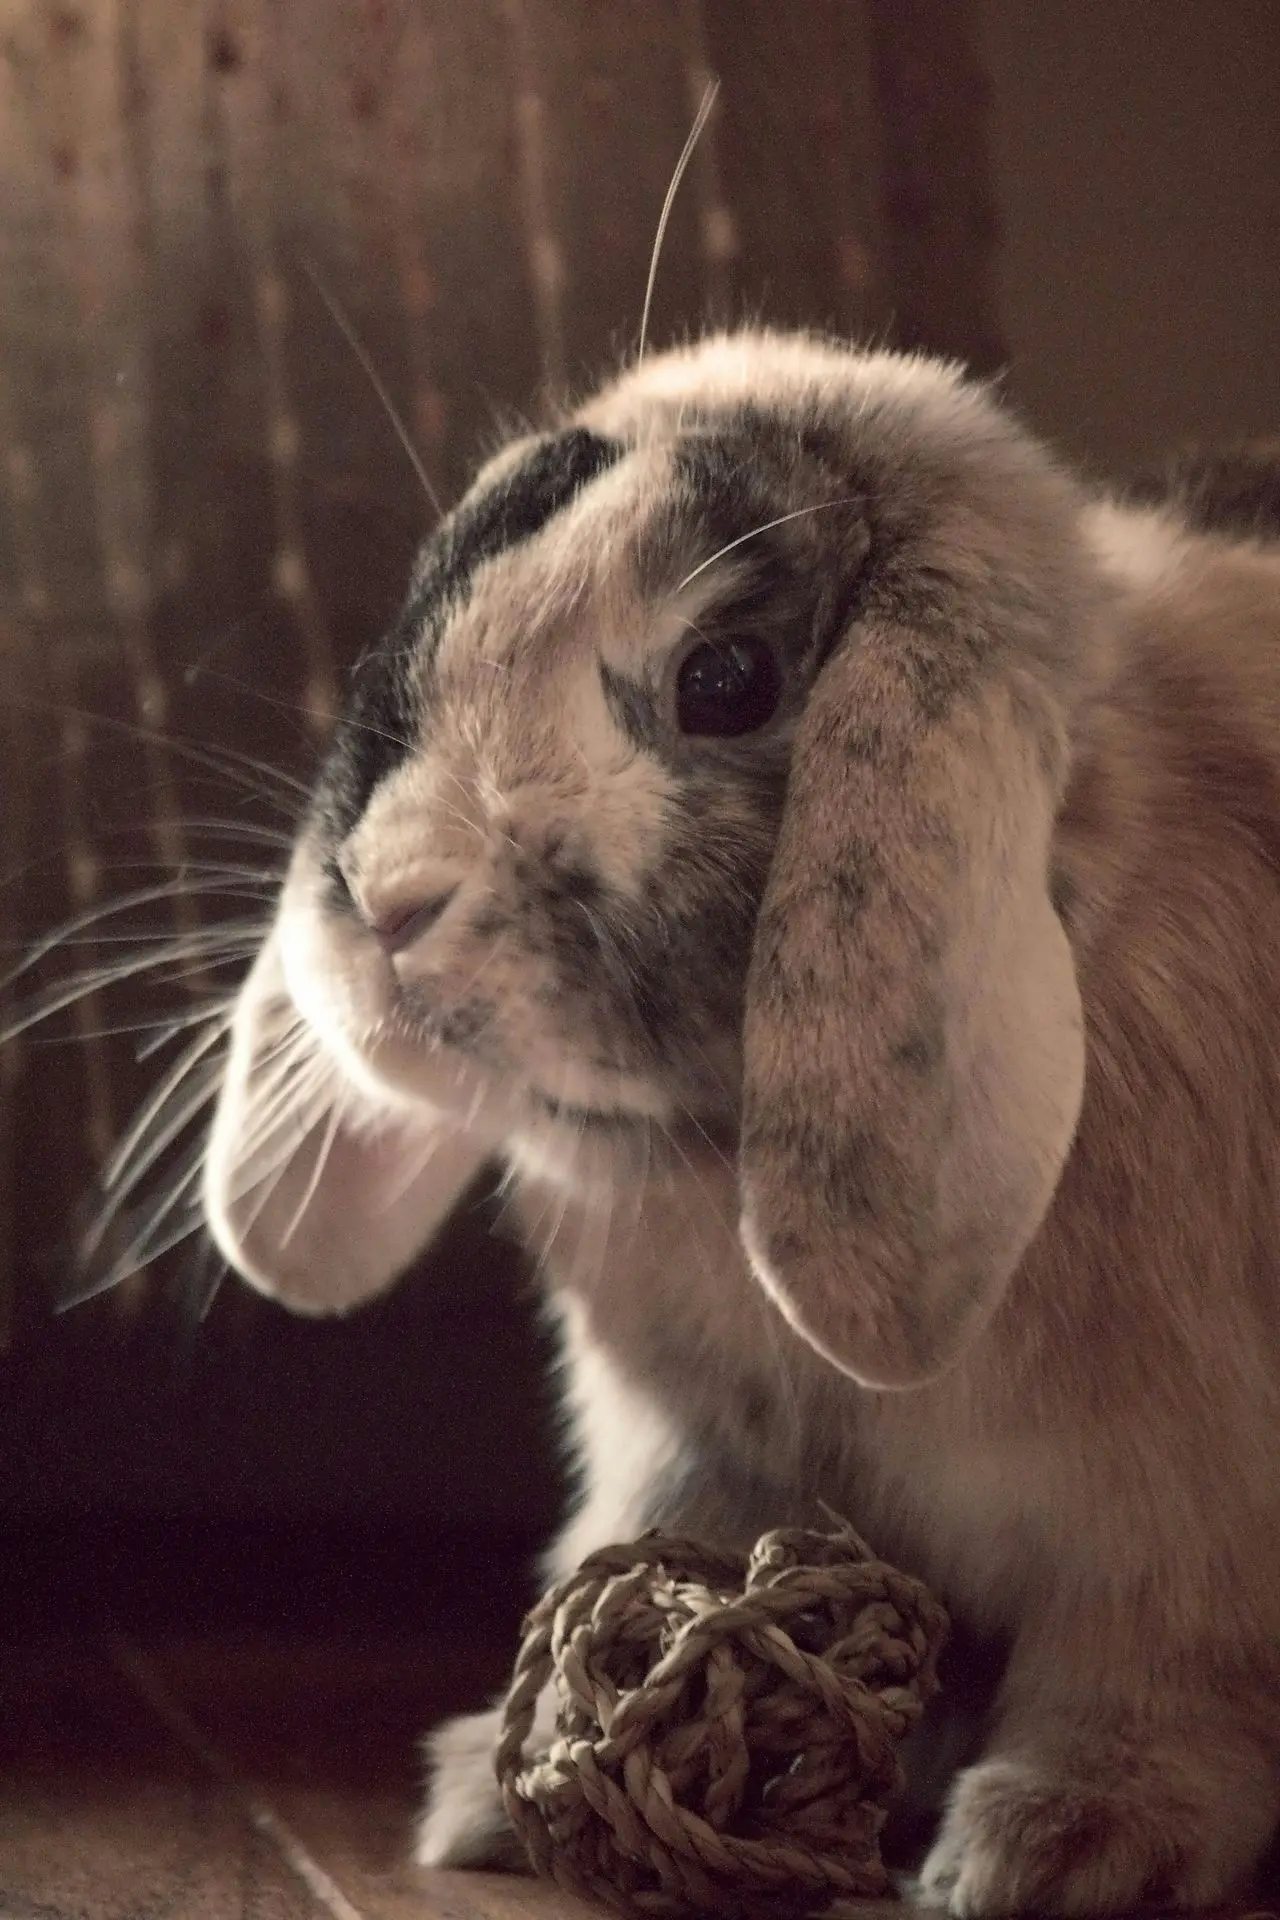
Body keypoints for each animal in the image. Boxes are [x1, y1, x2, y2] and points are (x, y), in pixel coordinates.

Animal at [195, 337, 1280, 1912]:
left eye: (724, 680)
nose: (388, 900)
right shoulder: (691, 1446)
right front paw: (491, 1792)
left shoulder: (1179, 1516)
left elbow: (1153, 1674)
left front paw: (1049, 1846)